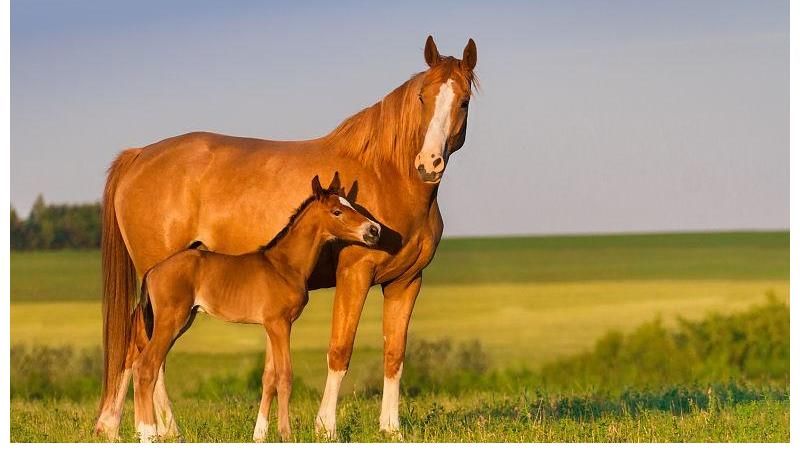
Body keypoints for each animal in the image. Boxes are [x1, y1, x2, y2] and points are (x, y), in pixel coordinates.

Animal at [127, 177, 382, 442]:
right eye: (337, 211)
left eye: (351, 205)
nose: (374, 230)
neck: (284, 265)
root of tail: (153, 271)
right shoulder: (280, 324)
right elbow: (285, 376)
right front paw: (286, 434)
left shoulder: (271, 326)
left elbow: (269, 376)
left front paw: (260, 434)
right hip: (171, 321)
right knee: (145, 367)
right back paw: (147, 433)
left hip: (181, 322)